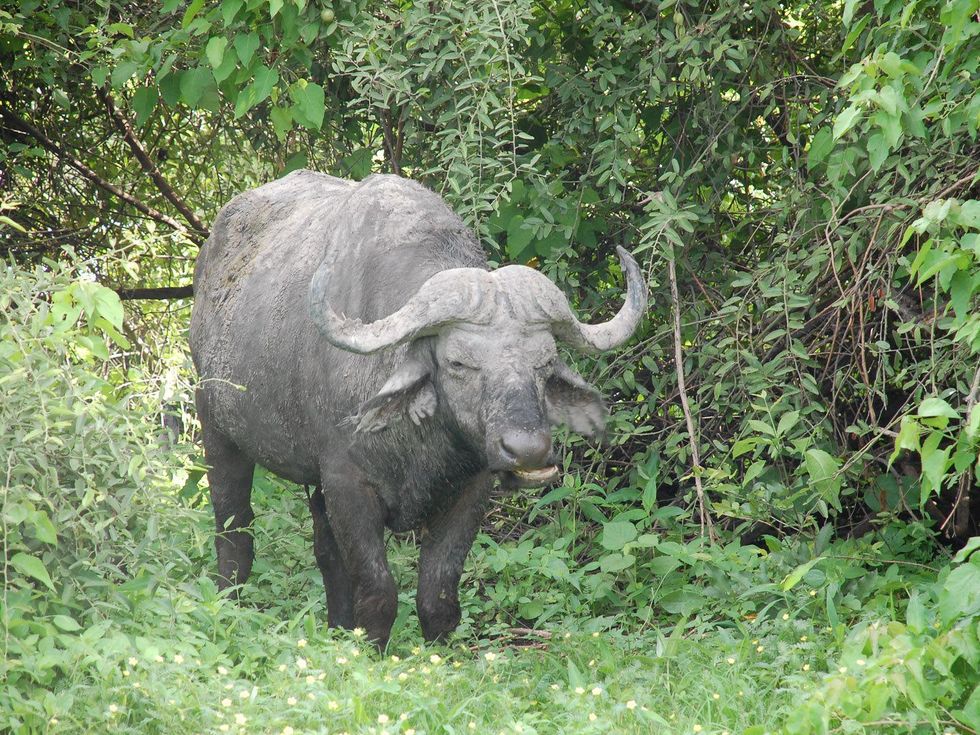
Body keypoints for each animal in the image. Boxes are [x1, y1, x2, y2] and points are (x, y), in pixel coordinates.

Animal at [189, 171, 646, 646]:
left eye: (544, 362)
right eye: (458, 362)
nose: (528, 451)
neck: (419, 441)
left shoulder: (470, 490)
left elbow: (438, 594)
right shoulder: (348, 484)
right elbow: (378, 591)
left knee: (325, 552)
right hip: (216, 428)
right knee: (234, 529)